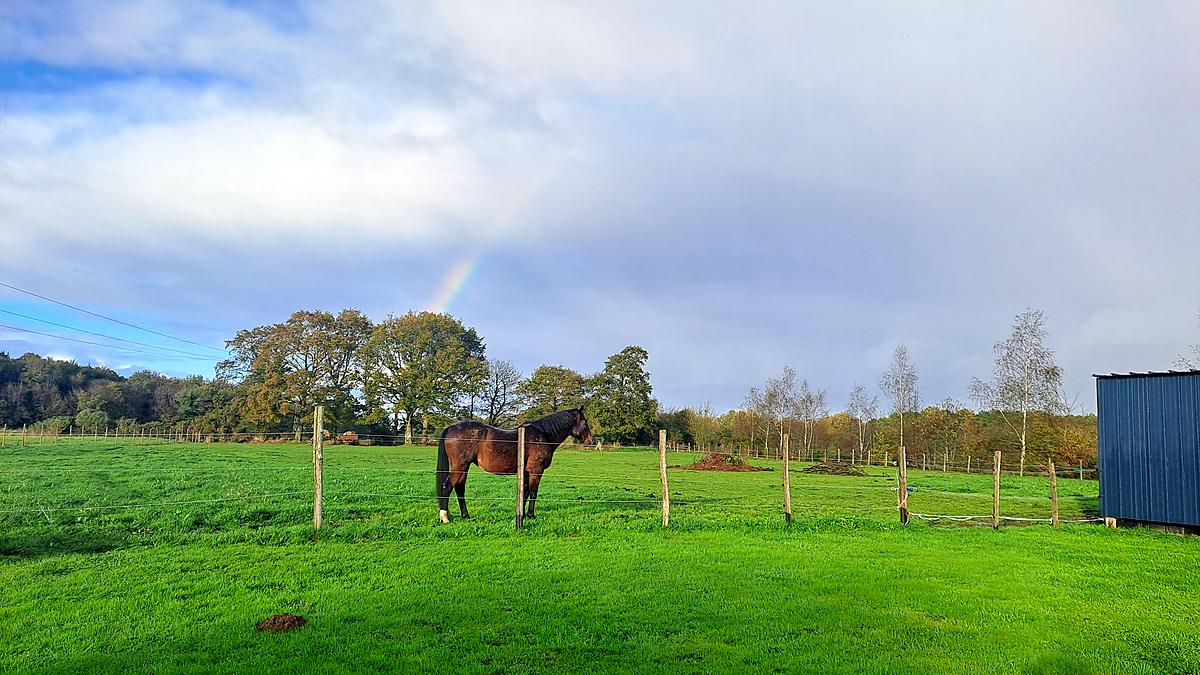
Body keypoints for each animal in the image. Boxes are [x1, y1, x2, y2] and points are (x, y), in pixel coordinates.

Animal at [436, 408, 595, 523]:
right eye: (585, 421)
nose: (591, 440)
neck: (544, 435)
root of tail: (451, 427)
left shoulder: (526, 472)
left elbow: (524, 493)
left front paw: (521, 515)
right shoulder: (536, 471)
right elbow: (533, 492)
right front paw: (531, 515)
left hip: (464, 467)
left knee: (459, 488)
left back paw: (465, 516)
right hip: (460, 466)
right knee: (448, 487)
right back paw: (445, 518)